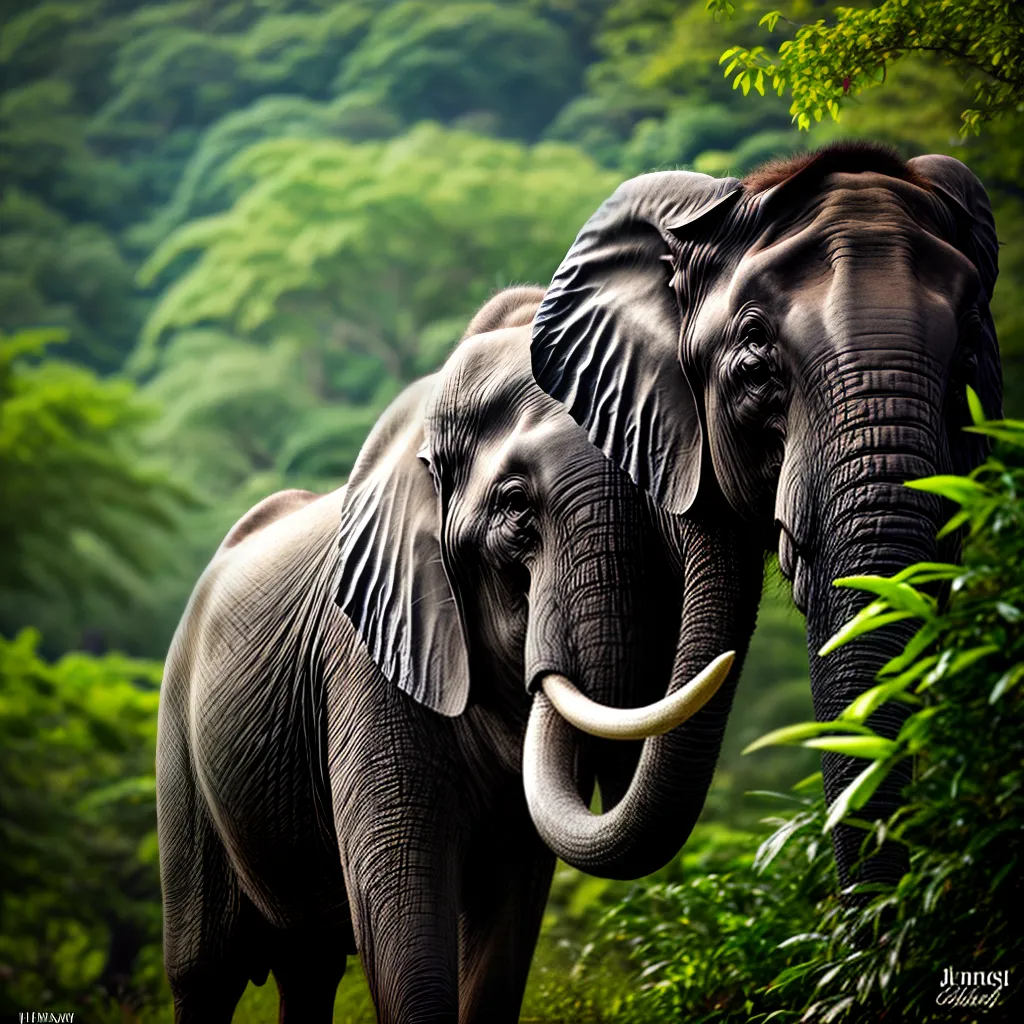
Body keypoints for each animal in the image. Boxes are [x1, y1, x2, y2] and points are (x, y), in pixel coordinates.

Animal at [156, 284, 751, 1024]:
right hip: (177, 752)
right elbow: (403, 908)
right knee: (205, 973)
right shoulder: (369, 658)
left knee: (308, 966)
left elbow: (506, 915)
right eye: (516, 507)